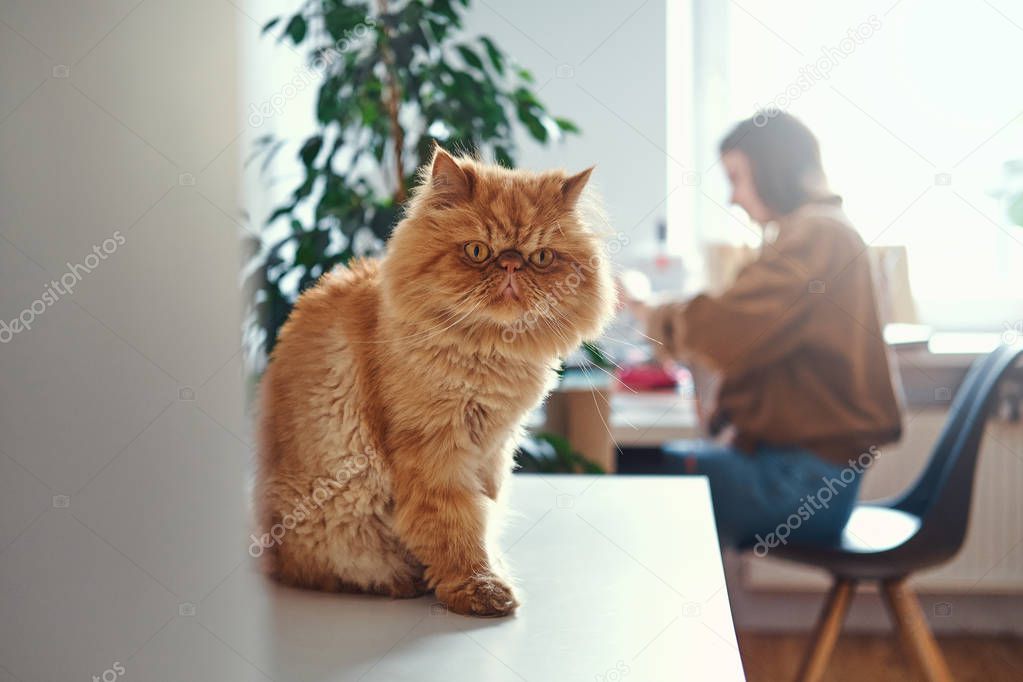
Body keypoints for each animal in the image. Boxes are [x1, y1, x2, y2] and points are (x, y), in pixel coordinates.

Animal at [257, 148, 613, 617]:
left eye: (540, 258)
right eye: (478, 250)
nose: (511, 262)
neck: (490, 355)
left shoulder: (494, 451)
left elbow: (484, 514)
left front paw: (488, 572)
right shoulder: (434, 450)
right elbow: (456, 526)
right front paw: (481, 590)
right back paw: (403, 582)